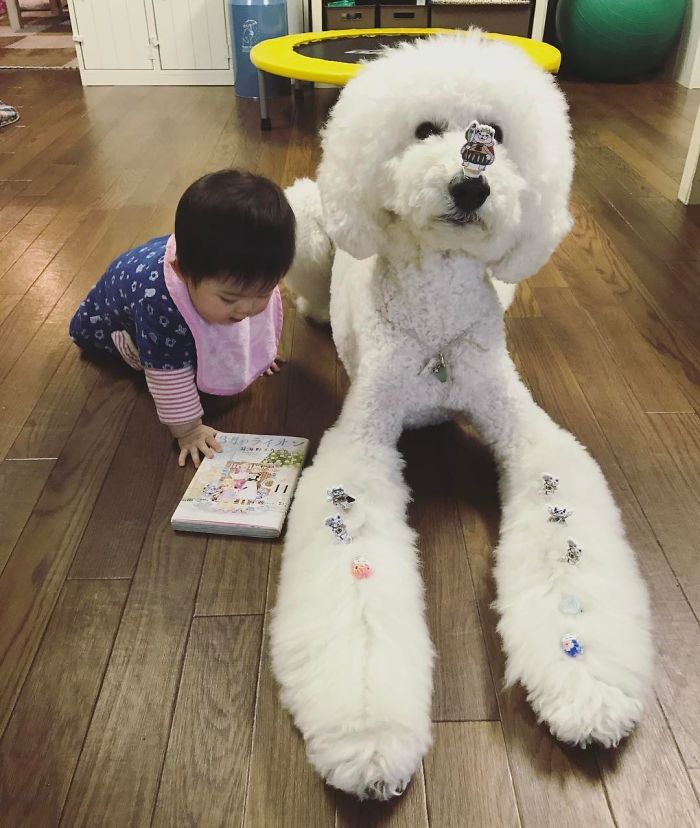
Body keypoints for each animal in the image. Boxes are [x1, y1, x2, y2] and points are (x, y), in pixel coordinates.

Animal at [270, 32, 652, 804]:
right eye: (423, 131)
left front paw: (587, 687)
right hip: (309, 229)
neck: (437, 311)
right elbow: (356, 572)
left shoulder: (522, 421)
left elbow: (563, 523)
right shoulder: (360, 441)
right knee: (311, 276)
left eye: (495, 138)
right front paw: (368, 736)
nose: (472, 185)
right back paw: (317, 309)